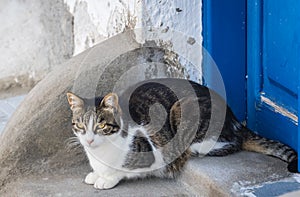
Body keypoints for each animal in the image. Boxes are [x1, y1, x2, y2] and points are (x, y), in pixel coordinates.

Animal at [66, 77, 298, 190]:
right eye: (80, 125)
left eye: (101, 126)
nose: (89, 140)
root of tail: (234, 118)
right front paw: (95, 173)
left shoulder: (154, 154)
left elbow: (123, 169)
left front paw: (106, 178)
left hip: (183, 110)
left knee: (232, 142)